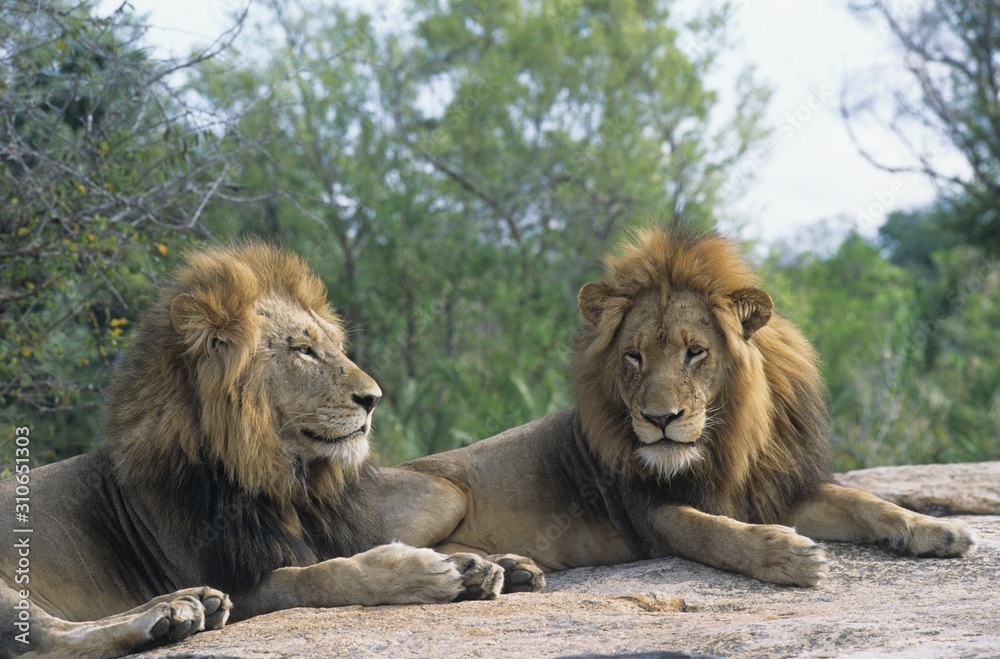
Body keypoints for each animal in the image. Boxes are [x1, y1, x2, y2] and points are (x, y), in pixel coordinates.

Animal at [1, 244, 508, 659]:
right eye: (304, 349)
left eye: (334, 347)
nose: (373, 398)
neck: (281, 481)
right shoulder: (242, 582)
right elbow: (317, 577)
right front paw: (427, 571)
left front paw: (484, 565)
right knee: (45, 638)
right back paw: (167, 616)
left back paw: (187, 606)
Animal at [382, 226, 976, 588]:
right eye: (634, 356)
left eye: (695, 352)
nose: (659, 419)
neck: (729, 443)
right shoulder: (653, 515)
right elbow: (714, 533)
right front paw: (788, 556)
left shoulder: (779, 488)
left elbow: (865, 502)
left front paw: (937, 529)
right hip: (444, 493)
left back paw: (503, 569)